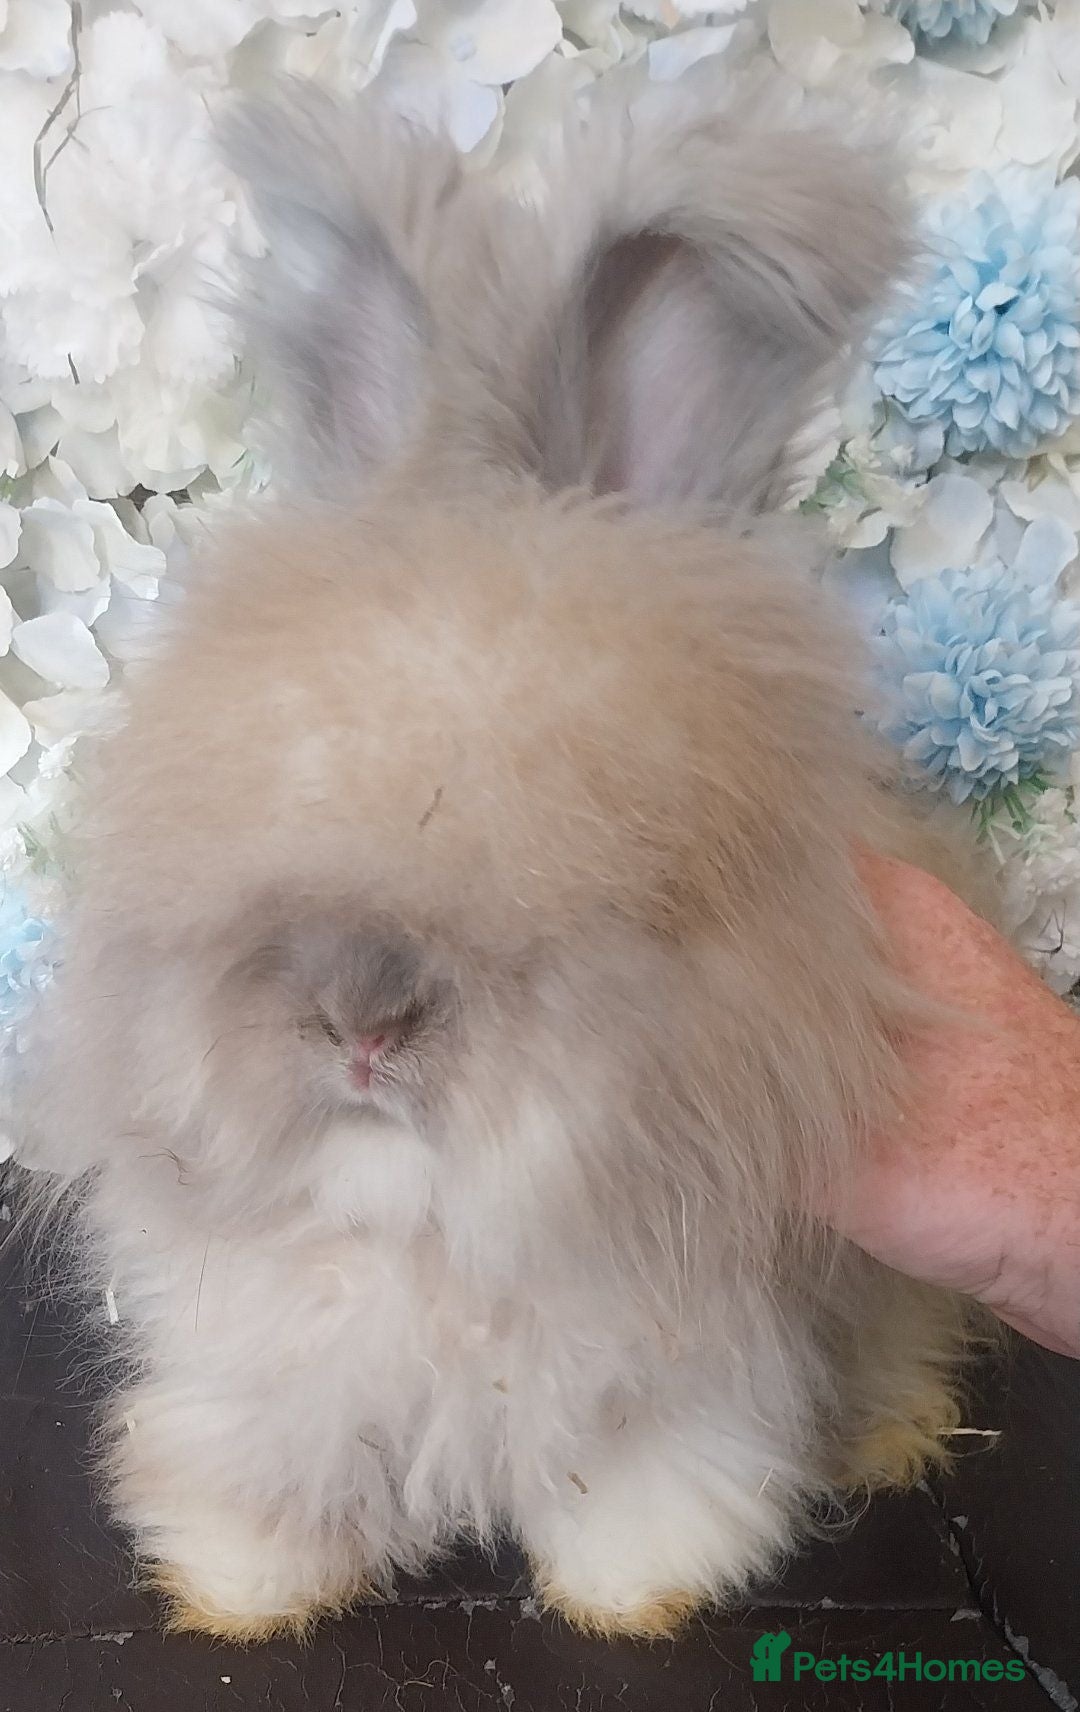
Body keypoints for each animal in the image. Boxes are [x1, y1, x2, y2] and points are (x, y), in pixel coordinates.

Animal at [16, 70, 975, 1643]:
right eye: (228, 811)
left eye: (595, 847)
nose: (361, 1019)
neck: (420, 1235)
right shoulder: (262, 1370)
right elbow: (264, 1469)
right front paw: (238, 1589)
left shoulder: (679, 1379)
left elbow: (653, 1487)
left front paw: (636, 1598)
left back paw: (890, 1441)